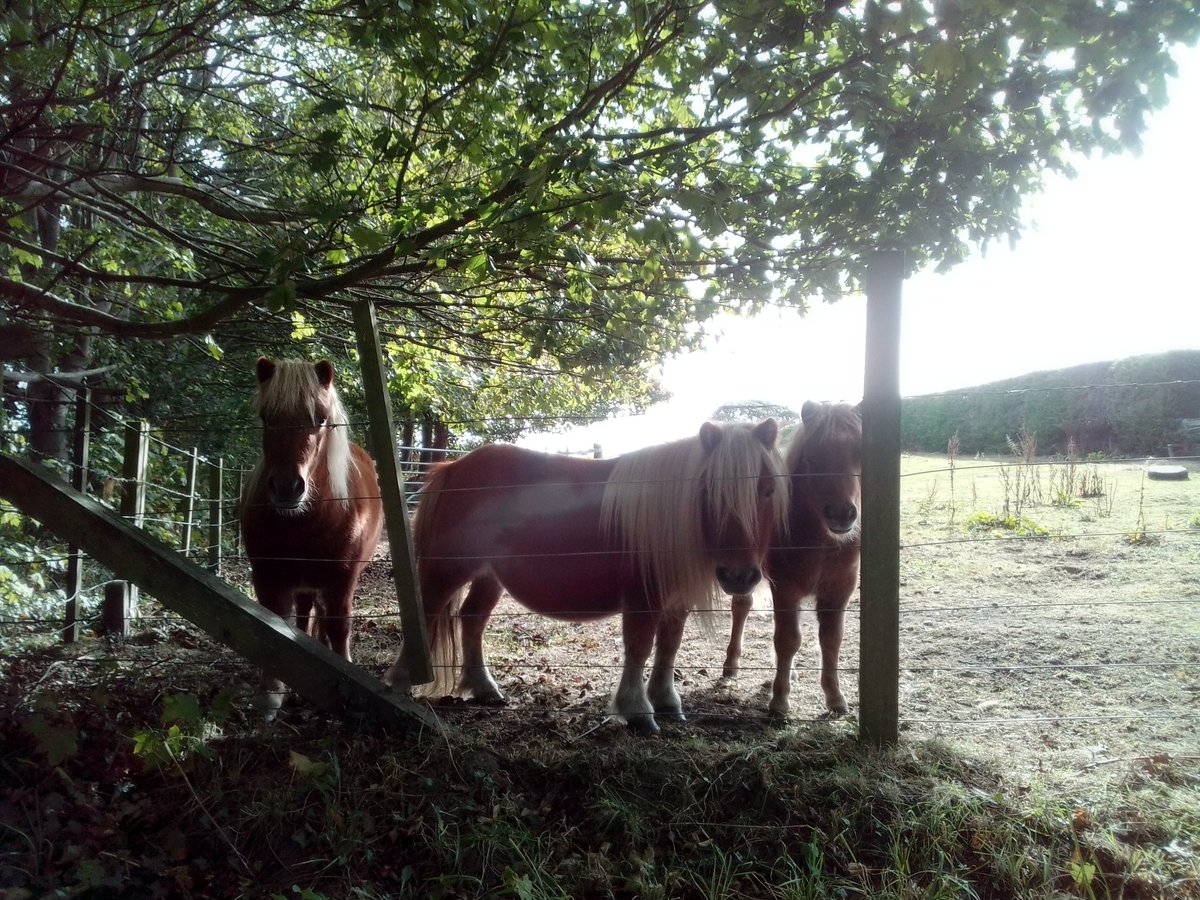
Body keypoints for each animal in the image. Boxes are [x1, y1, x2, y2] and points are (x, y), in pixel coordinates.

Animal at [240, 357, 383, 717]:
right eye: (266, 418)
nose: (287, 488)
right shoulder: (267, 576)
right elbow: (274, 626)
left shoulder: (342, 578)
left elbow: (339, 625)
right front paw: (270, 694)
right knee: (304, 614)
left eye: (320, 418)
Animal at [387, 419, 787, 735]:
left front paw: (667, 702)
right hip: (448, 570)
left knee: (472, 620)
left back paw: (485, 689)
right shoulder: (643, 599)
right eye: (709, 490)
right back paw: (401, 682)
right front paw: (638, 711)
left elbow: (668, 647)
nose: (739, 576)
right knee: (427, 613)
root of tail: (453, 467)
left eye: (769, 489)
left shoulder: (675, 601)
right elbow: (639, 648)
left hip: (489, 576)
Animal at [721, 400, 861, 718]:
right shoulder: (785, 587)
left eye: (860, 455)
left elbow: (831, 639)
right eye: (811, 458)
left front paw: (835, 698)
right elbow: (787, 638)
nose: (841, 514)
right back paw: (732, 664)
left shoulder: (839, 590)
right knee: (741, 608)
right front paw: (779, 701)